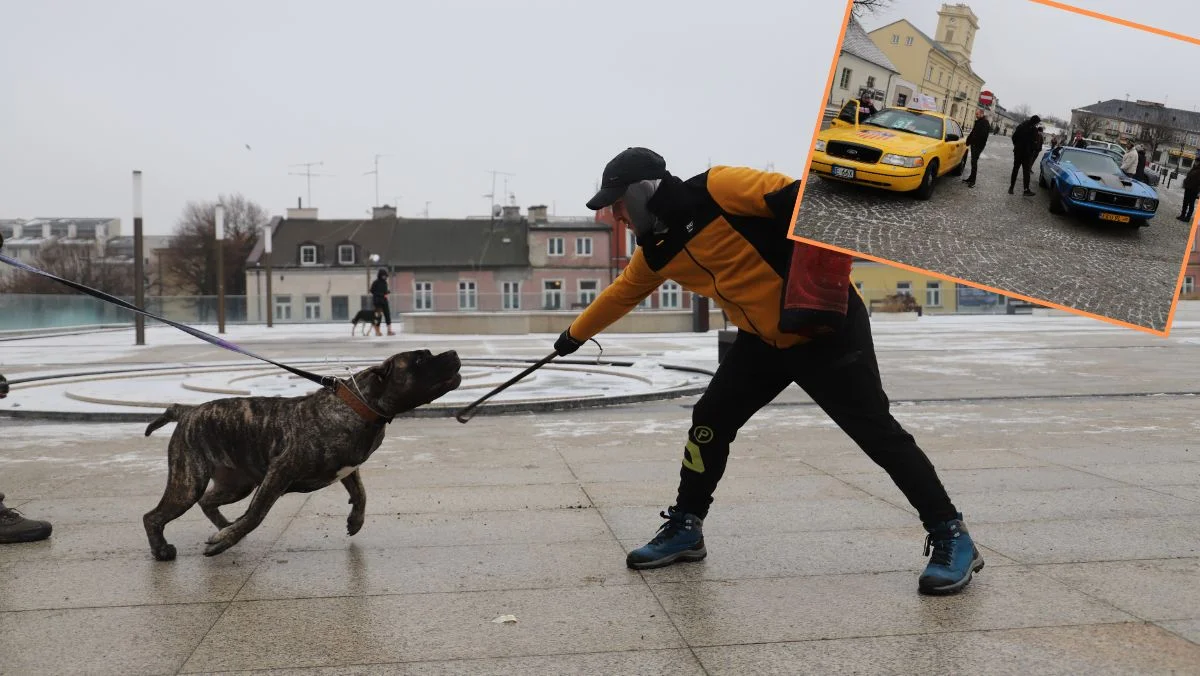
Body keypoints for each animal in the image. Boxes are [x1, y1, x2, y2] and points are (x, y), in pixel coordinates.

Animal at [140, 348, 458, 561]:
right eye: (420, 360)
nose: (453, 352)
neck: (361, 406)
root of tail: (187, 411)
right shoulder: (279, 471)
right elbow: (256, 514)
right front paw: (224, 542)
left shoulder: (349, 468)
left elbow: (361, 492)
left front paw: (355, 520)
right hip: (188, 483)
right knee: (153, 516)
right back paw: (164, 550)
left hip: (238, 484)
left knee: (208, 501)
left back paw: (224, 527)